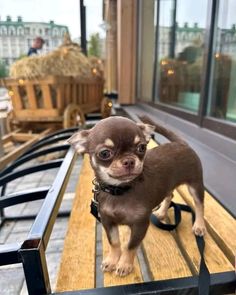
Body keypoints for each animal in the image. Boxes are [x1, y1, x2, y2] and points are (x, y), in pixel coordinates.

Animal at [67, 115, 206, 278]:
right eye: (104, 153)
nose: (129, 161)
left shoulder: (140, 224)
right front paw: (112, 260)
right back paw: (161, 212)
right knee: (170, 195)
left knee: (199, 204)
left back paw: (199, 225)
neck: (119, 190)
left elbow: (130, 246)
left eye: (142, 147)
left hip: (195, 185)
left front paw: (124, 265)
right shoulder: (108, 221)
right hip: (169, 185)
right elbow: (114, 242)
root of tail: (182, 143)